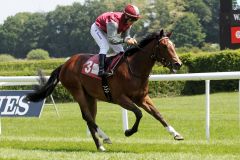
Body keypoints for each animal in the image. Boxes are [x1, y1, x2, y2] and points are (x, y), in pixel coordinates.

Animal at [26, 29, 183, 151]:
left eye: (173, 45)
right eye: (164, 46)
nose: (178, 63)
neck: (133, 69)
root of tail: (65, 64)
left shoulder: (142, 97)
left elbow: (158, 114)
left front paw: (175, 134)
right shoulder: (120, 98)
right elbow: (138, 113)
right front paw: (128, 131)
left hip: (90, 96)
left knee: (89, 118)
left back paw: (100, 145)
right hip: (77, 91)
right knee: (88, 117)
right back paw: (105, 138)